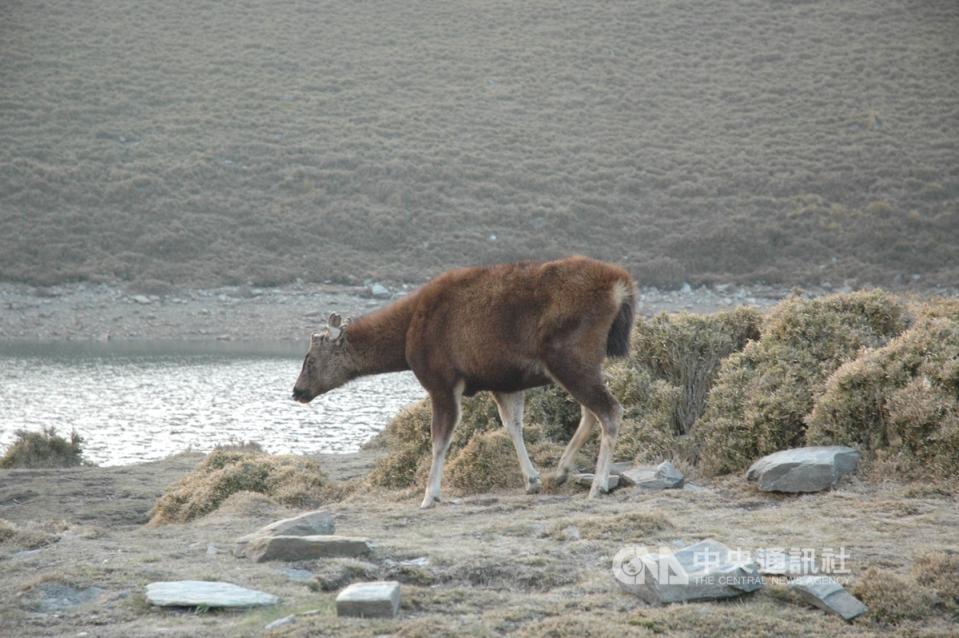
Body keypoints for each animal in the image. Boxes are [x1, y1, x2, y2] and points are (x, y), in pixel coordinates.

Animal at [292, 255, 636, 510]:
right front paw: (532, 480)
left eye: (309, 358)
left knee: (611, 411)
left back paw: (598, 485)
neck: (405, 341)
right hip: (580, 363)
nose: (297, 391)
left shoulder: (442, 380)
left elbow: (440, 439)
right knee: (591, 412)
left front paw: (429, 496)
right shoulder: (503, 381)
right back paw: (563, 471)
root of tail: (621, 284)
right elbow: (513, 426)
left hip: (570, 357)